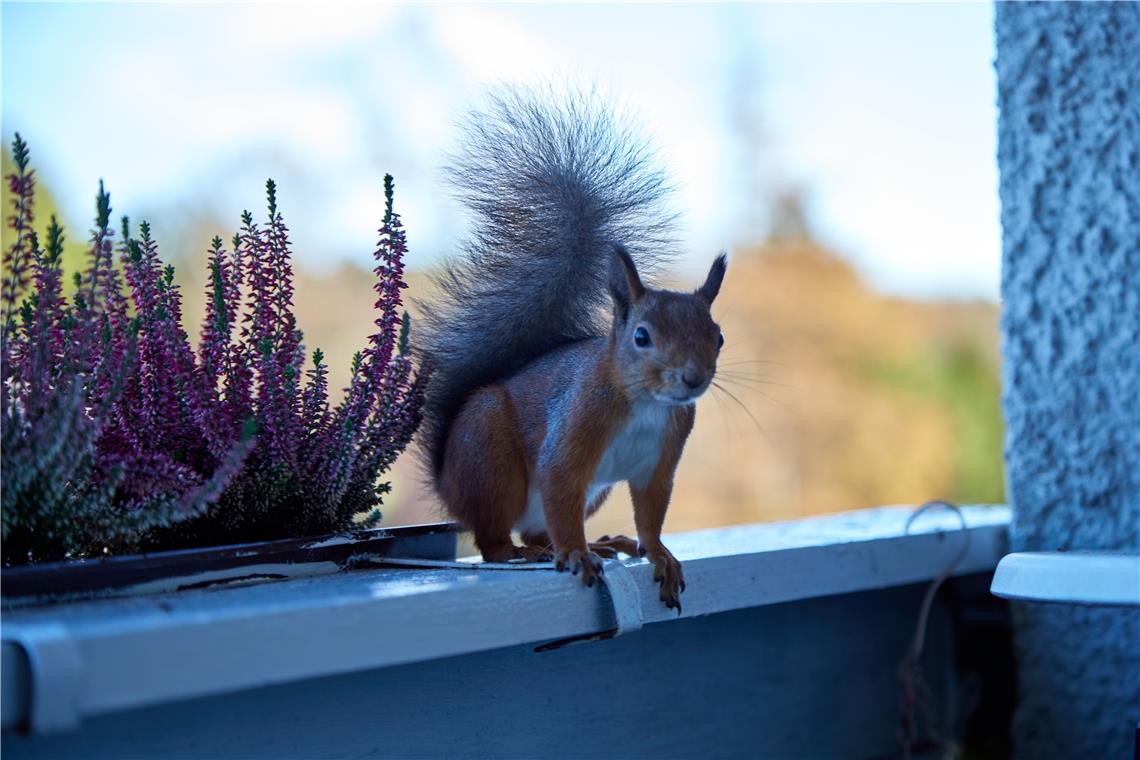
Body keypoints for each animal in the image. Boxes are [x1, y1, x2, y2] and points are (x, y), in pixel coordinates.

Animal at [414, 89, 725, 610]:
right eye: (641, 337)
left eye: (718, 337)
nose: (692, 378)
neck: (645, 403)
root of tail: (446, 482)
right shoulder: (573, 429)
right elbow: (561, 486)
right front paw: (577, 554)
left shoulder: (659, 461)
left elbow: (651, 513)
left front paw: (659, 555)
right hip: (490, 461)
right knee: (496, 539)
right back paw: (526, 551)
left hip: (591, 491)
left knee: (539, 531)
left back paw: (597, 542)